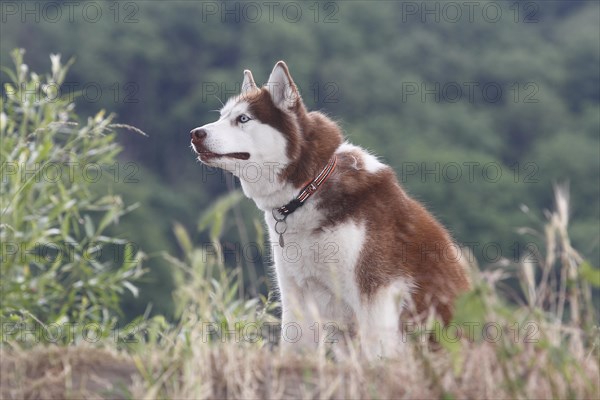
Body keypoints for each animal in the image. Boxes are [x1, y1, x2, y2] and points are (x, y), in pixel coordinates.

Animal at [190, 62, 472, 360]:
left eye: (243, 119)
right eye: (222, 116)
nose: (195, 134)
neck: (309, 188)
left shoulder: (377, 293)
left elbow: (376, 354)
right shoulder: (296, 295)